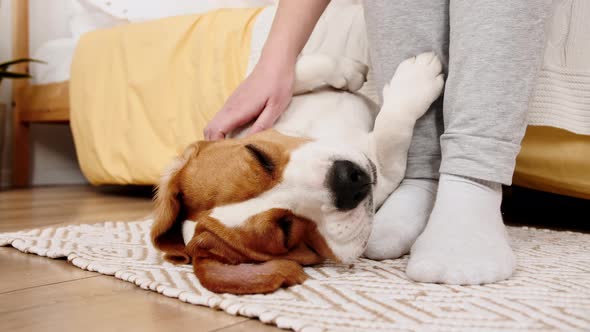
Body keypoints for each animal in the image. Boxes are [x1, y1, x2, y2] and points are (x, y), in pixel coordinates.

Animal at [150, 53, 446, 294]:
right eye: (287, 232)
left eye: (258, 155)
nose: (348, 181)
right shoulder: (385, 170)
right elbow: (388, 137)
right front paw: (415, 83)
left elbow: (292, 70)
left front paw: (349, 71)